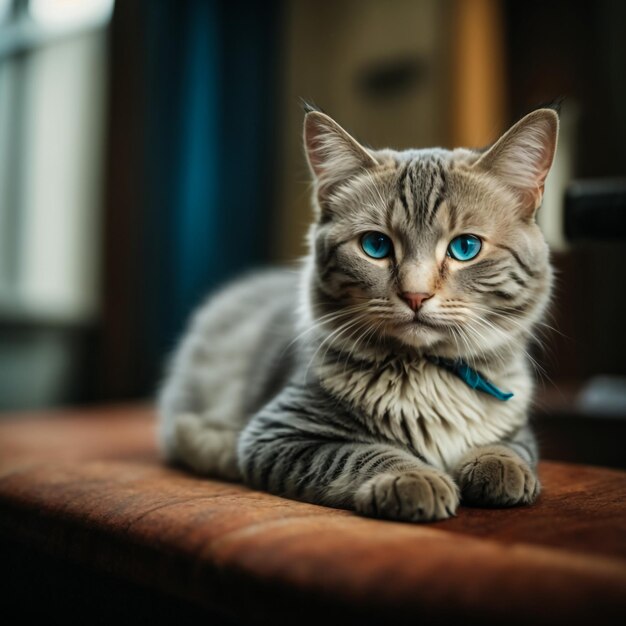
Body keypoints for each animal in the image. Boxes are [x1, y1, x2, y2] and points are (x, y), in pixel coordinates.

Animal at [158, 106, 560, 520]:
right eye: (376, 245)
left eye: (465, 247)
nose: (415, 295)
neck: (428, 374)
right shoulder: (279, 431)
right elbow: (361, 454)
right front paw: (412, 477)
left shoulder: (517, 427)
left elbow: (513, 446)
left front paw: (500, 465)